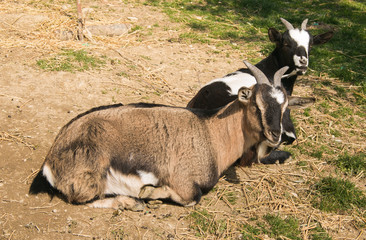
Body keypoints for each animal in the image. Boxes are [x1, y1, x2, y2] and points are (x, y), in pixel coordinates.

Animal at [30, 62, 314, 210]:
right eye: (256, 105)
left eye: (285, 108)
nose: (276, 134)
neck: (211, 133)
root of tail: (49, 162)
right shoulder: (184, 180)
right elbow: (192, 198)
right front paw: (147, 191)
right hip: (90, 176)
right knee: (80, 199)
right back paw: (130, 202)